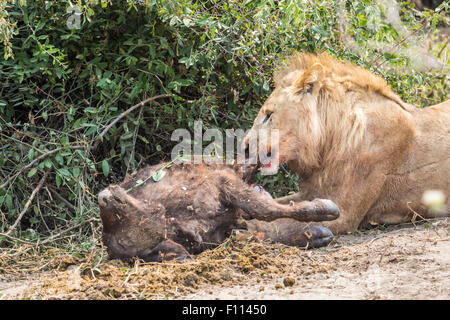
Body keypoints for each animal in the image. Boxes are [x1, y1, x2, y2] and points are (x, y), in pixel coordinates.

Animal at [244, 52, 448, 232]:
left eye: (268, 115)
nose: (245, 148)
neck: (327, 143)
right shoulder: (312, 192)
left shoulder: (345, 213)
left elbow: (279, 222)